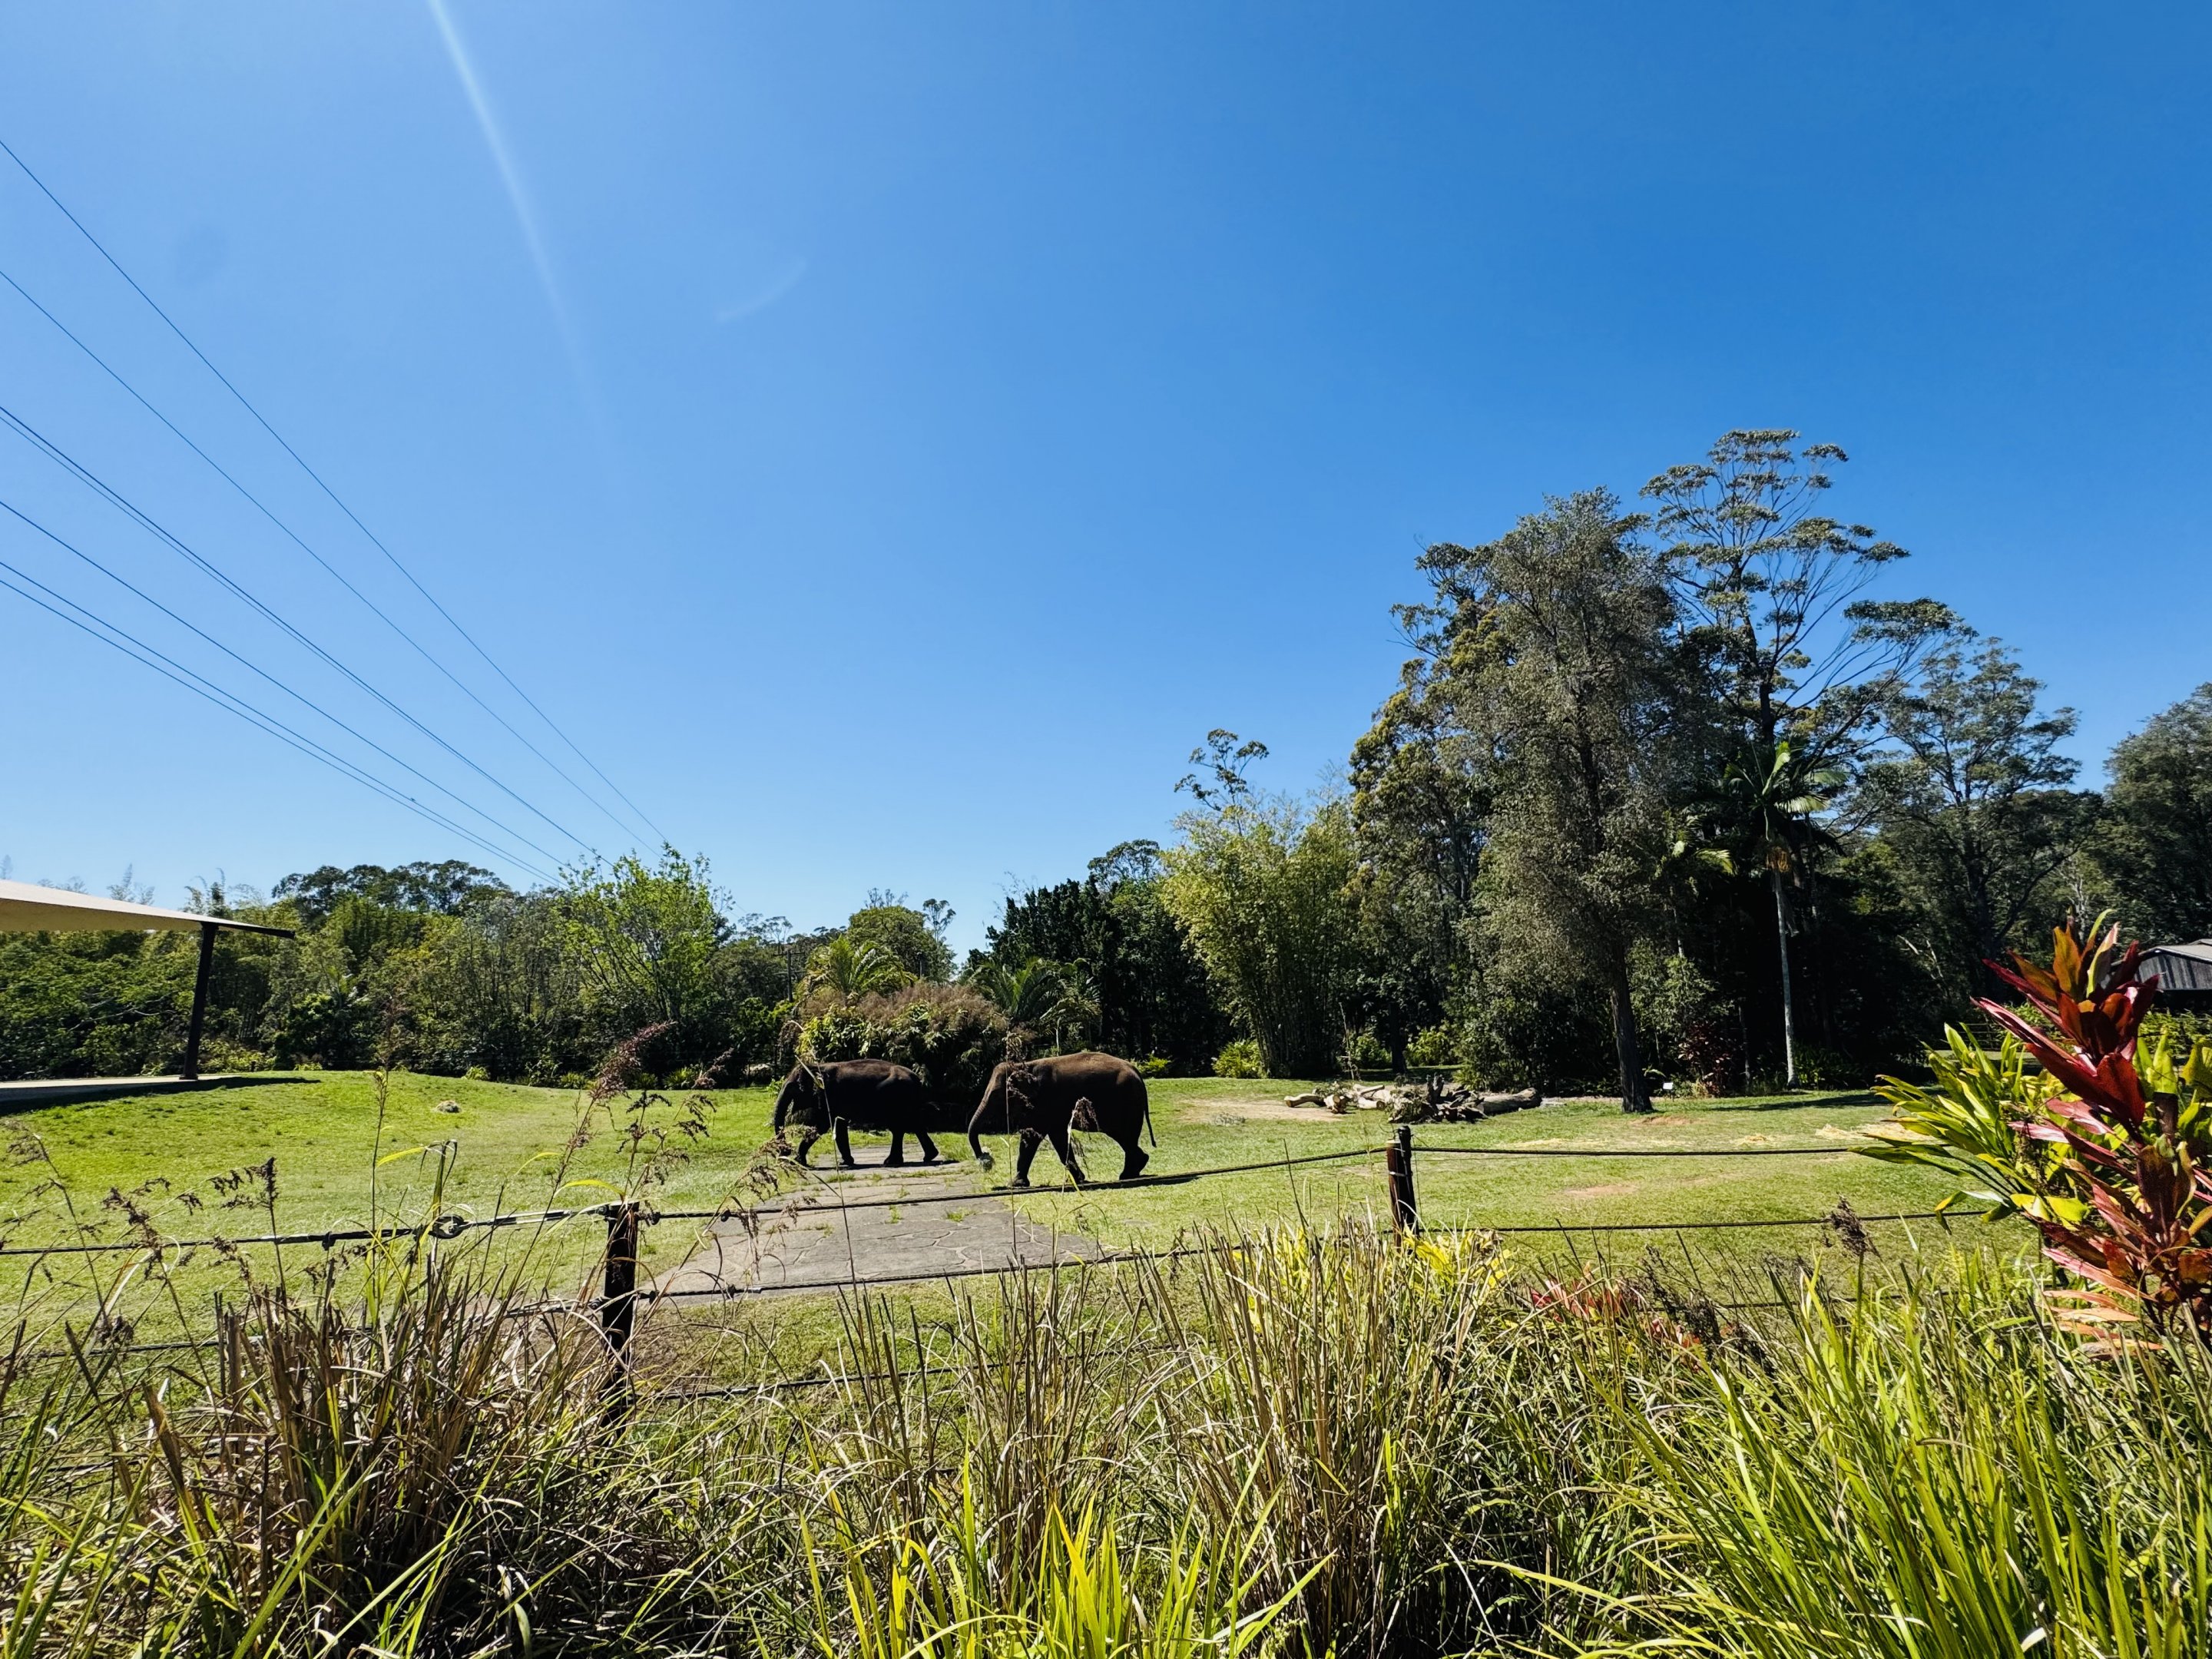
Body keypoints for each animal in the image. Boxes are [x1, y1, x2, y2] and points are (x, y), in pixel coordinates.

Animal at [772, 1058, 942, 1168]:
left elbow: (822, 1126)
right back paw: (927, 1157)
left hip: (896, 1097)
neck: (816, 1066)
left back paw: (893, 1162)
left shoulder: (829, 1096)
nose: (784, 1153)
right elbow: (840, 1126)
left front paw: (797, 1161)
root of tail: (917, 1078)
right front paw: (846, 1162)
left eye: (793, 1087)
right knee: (913, 1124)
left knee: (900, 1126)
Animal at [966, 1051, 1155, 1186]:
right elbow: (1057, 1138)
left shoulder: (1046, 1102)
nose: (984, 1157)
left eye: (998, 1096)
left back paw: (1128, 1174)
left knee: (1124, 1135)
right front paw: (1078, 1179)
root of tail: (1136, 1070)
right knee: (1124, 1137)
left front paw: (1014, 1184)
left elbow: (1034, 1137)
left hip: (1127, 1102)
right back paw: (1136, 1168)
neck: (1024, 1065)